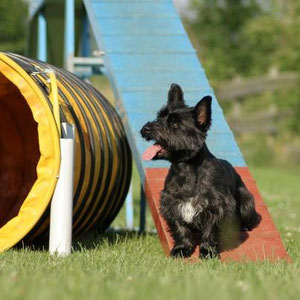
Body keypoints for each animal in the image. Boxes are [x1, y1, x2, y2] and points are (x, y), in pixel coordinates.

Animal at [141, 82, 260, 258]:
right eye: (159, 116)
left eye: (174, 124)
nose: (146, 128)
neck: (187, 169)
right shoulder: (172, 203)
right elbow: (180, 228)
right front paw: (182, 248)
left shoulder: (216, 207)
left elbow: (210, 230)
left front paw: (208, 251)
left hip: (246, 202)